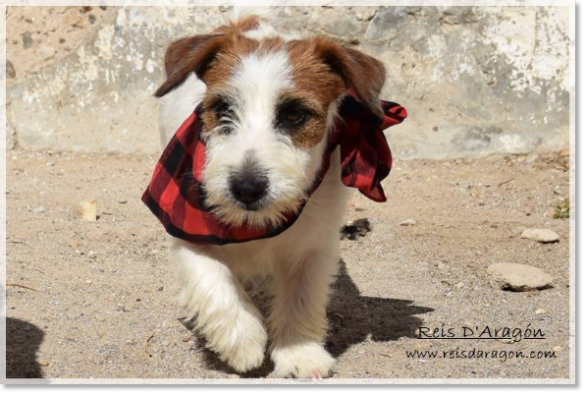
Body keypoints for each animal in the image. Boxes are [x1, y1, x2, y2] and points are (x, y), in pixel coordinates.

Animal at [153, 9, 386, 378]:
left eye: (294, 115)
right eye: (223, 109)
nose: (246, 188)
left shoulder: (313, 246)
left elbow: (302, 296)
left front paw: (299, 353)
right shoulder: (186, 231)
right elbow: (214, 282)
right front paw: (242, 341)